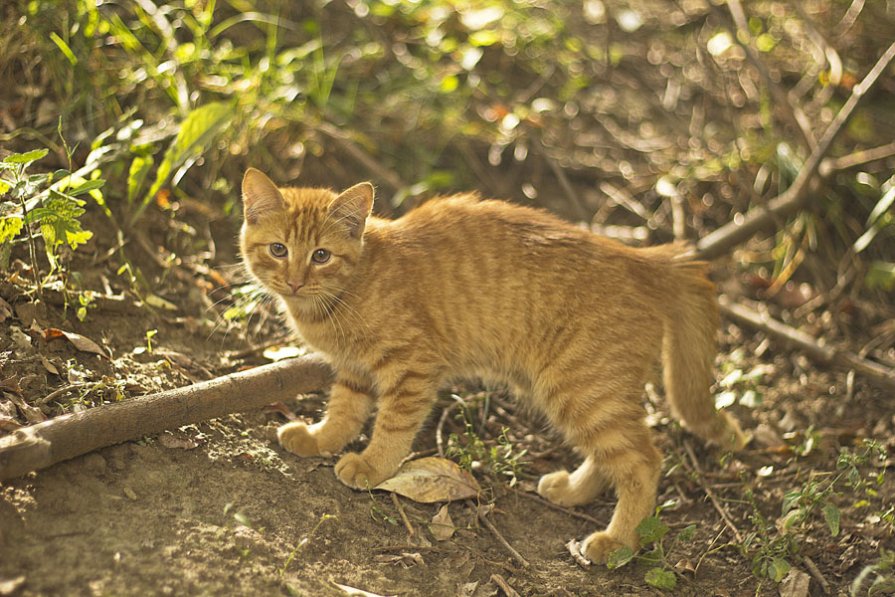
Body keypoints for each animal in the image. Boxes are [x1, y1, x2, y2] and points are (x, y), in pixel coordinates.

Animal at [240, 166, 748, 564]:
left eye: (321, 255)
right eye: (279, 249)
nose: (294, 281)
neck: (347, 291)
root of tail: (643, 257)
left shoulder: (412, 367)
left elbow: (392, 427)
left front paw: (371, 466)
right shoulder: (354, 371)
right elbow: (343, 412)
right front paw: (319, 439)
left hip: (580, 388)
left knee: (643, 460)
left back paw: (617, 542)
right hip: (582, 393)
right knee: (611, 455)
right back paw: (572, 490)